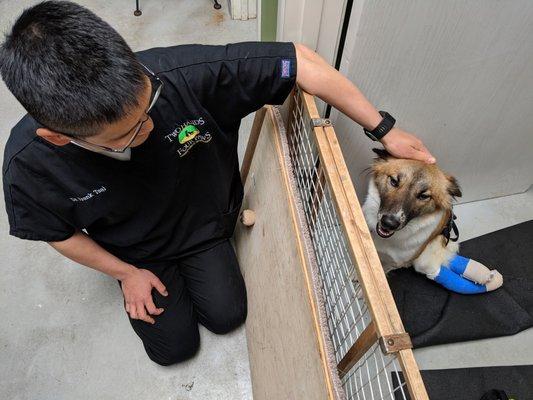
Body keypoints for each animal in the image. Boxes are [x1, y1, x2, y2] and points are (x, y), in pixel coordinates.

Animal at [362, 147, 502, 290]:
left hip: (425, 258)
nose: (389, 223)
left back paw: (487, 277)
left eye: (424, 196)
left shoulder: (394, 262)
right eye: (394, 181)